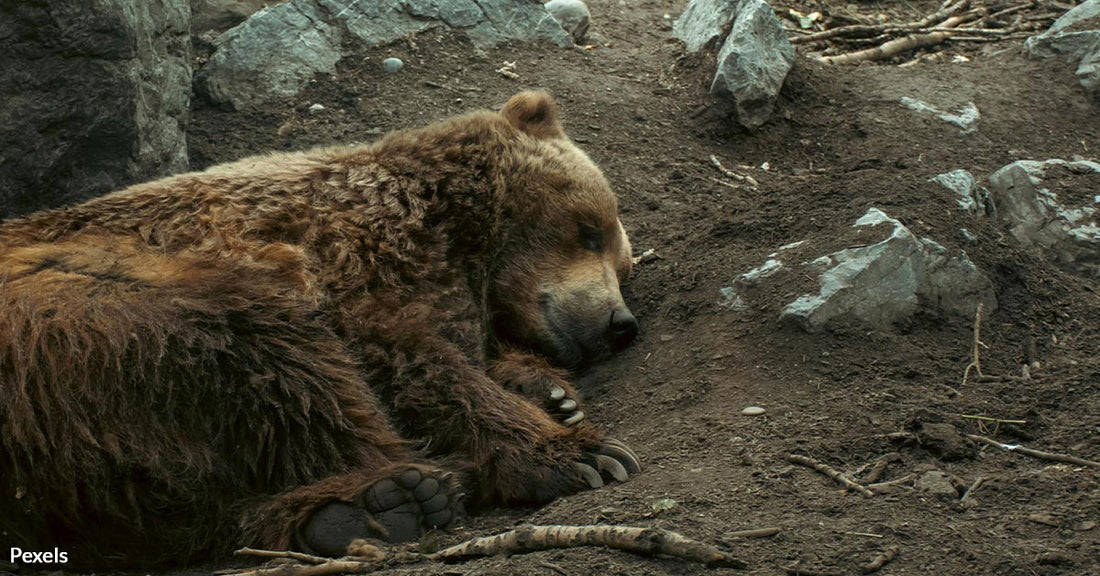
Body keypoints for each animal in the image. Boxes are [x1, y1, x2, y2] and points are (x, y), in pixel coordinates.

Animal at [0, 92, 641, 567]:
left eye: (623, 266)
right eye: (588, 230)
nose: (620, 323)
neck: (460, 234)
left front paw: (551, 394)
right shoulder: (353, 255)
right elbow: (410, 362)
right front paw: (579, 451)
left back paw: (359, 512)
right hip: (100, 303)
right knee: (272, 358)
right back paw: (405, 490)